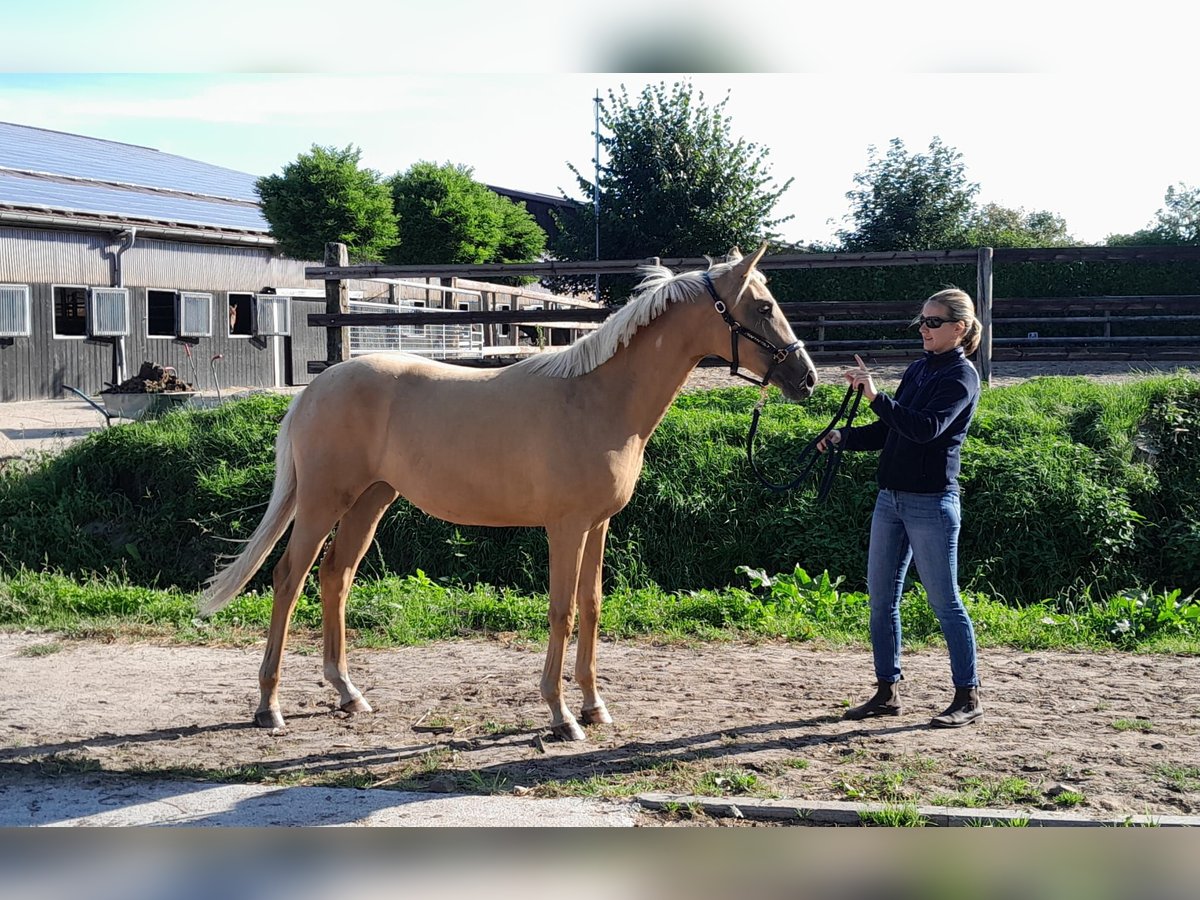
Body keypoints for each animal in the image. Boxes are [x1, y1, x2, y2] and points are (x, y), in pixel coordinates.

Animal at [199, 243, 816, 744]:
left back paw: (349, 694)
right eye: (763, 307)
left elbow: (592, 606)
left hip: (372, 500)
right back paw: (269, 706)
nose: (806, 378)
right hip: (324, 500)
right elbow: (562, 611)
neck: (596, 399)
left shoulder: (598, 525)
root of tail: (314, 388)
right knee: (289, 578)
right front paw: (562, 717)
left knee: (335, 576)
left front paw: (595, 707)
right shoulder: (565, 527)